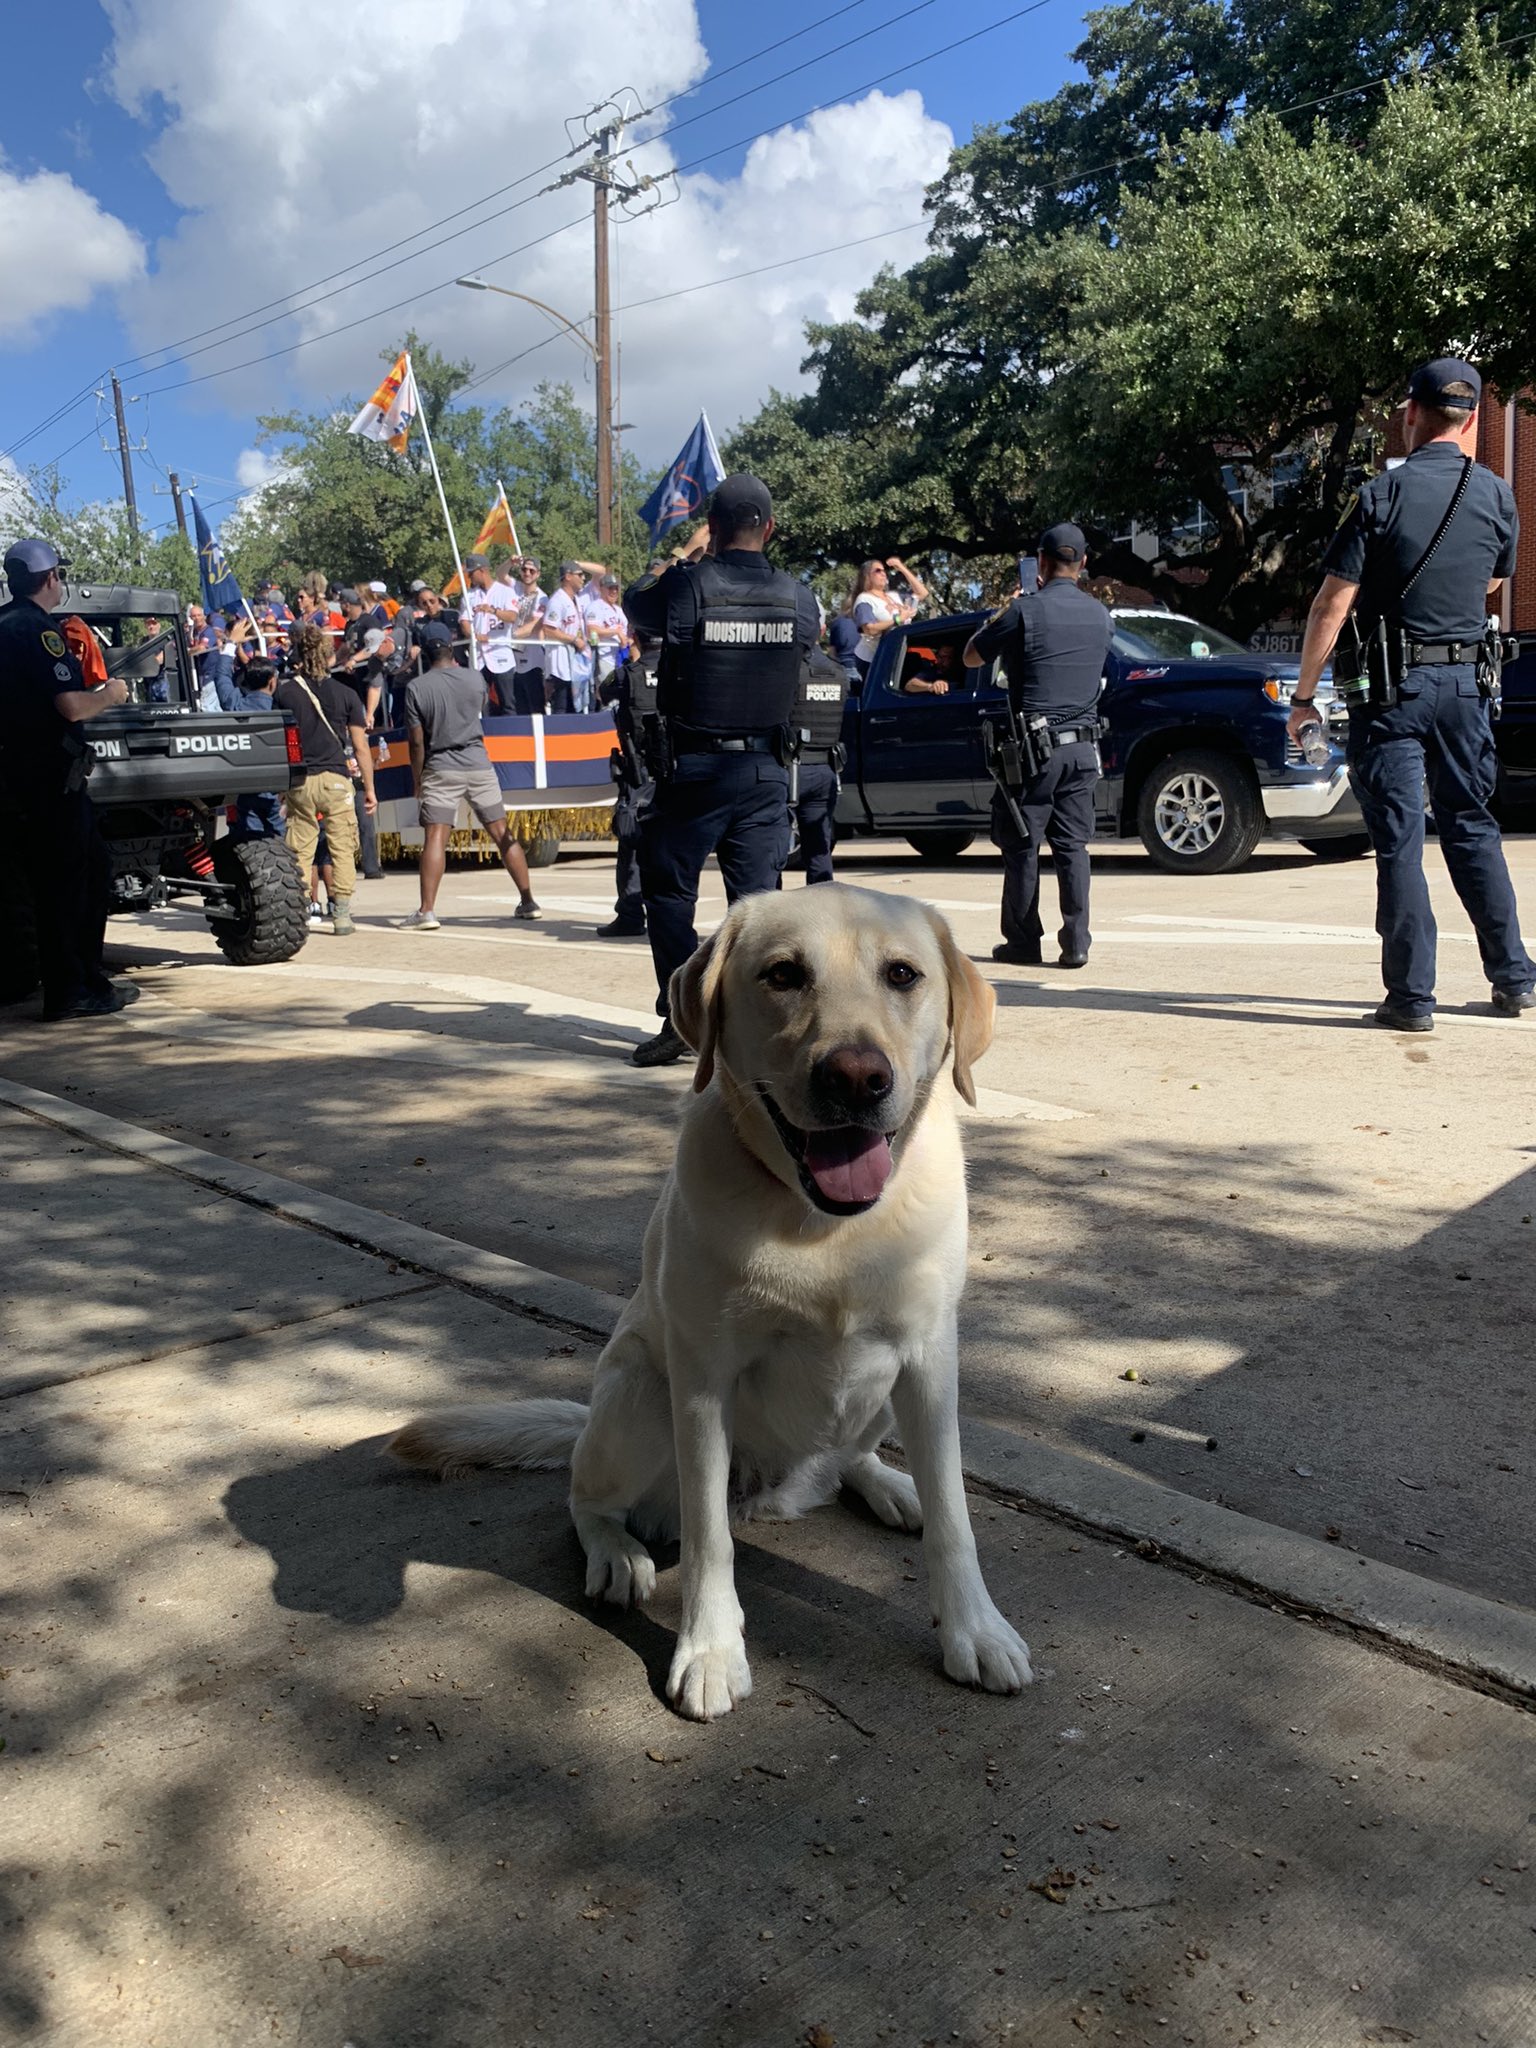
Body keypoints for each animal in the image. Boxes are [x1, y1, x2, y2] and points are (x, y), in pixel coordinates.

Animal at [391, 888, 1036, 1720]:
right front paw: (709, 1651)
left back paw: (890, 1485)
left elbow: (955, 1517)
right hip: (637, 1393)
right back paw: (618, 1556)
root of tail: (777, 1492)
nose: (856, 1078)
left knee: (854, 1462)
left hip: (879, 1397)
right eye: (783, 974)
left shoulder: (929, 1364)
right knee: (586, 1499)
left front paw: (974, 1631)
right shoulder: (702, 1385)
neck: (823, 1227)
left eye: (903, 974)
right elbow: (708, 1541)